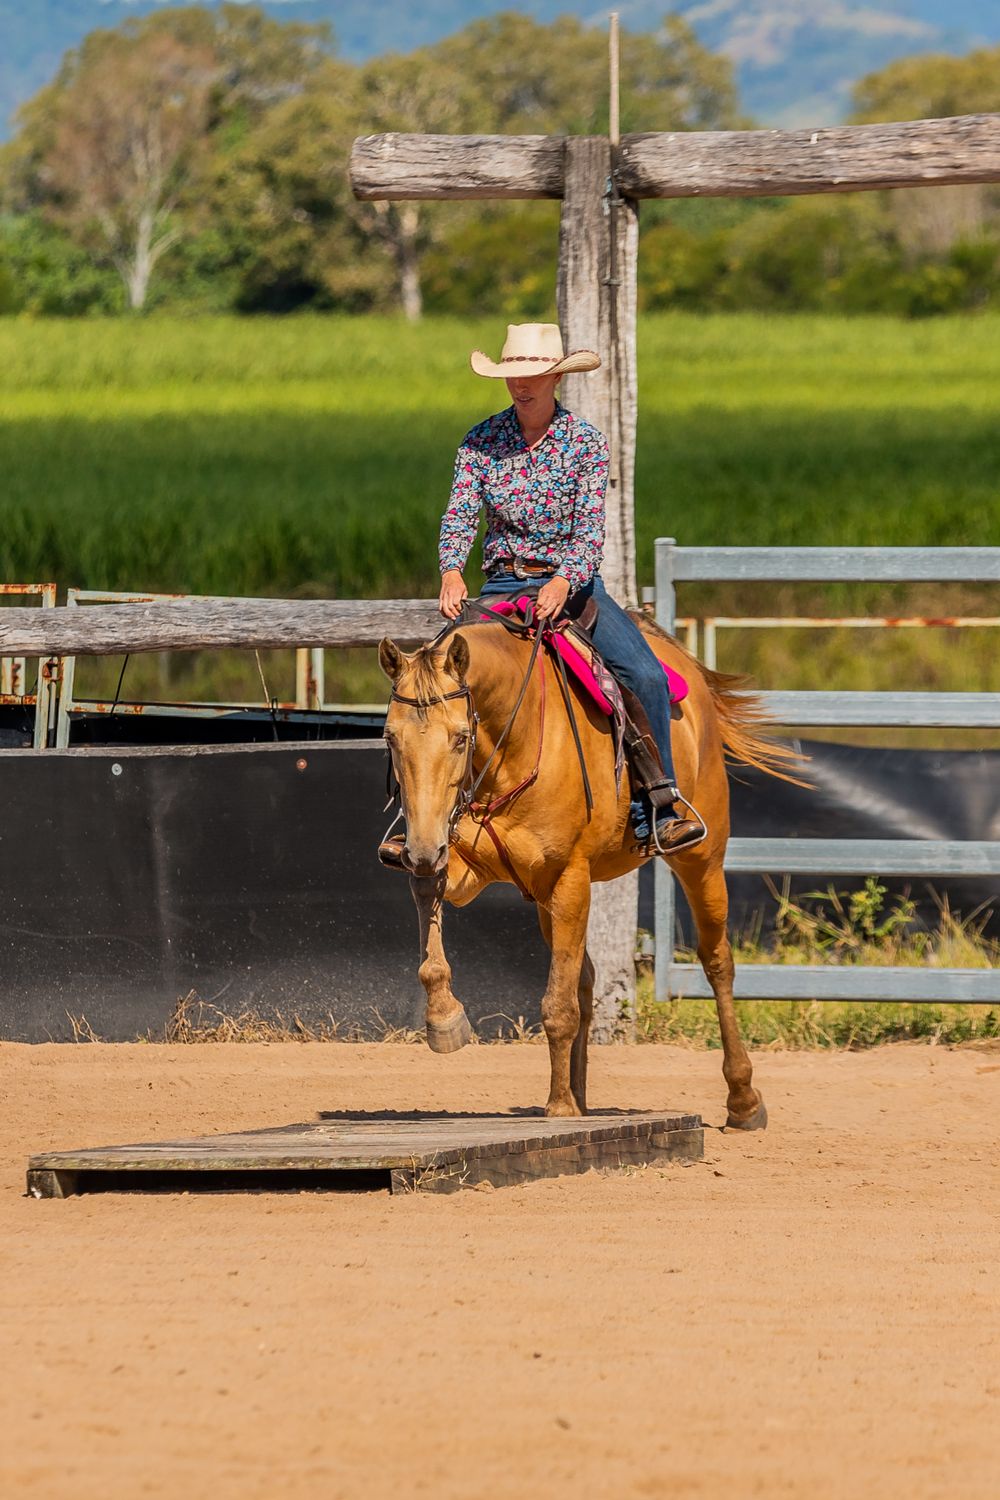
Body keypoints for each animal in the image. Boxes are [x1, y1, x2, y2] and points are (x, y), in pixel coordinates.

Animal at [378, 611, 801, 1126]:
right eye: (390, 737)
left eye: (460, 737)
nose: (421, 848)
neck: (511, 744)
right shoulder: (464, 865)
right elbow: (429, 902)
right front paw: (445, 1019)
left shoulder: (569, 879)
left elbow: (557, 1005)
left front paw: (559, 1109)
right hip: (545, 897)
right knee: (585, 977)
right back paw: (580, 1095)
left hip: (701, 858)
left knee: (717, 961)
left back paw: (743, 1100)